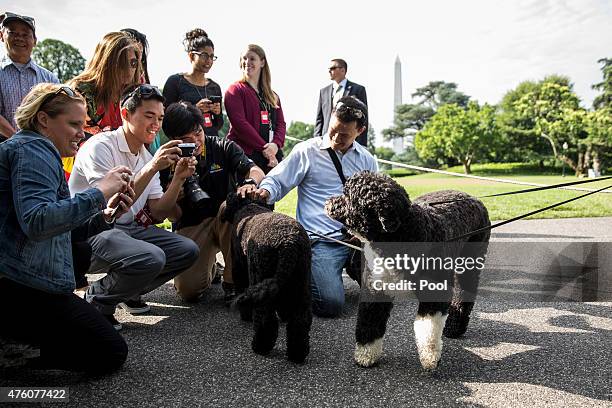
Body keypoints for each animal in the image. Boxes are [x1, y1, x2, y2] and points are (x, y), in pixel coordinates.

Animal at [222, 193, 314, 364]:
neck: (249, 205)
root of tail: (288, 244)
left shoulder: (238, 267)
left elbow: (241, 288)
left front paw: (245, 315)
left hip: (261, 275)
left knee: (266, 319)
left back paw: (260, 347)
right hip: (301, 282)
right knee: (300, 320)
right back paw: (297, 354)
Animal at [326, 172, 492, 370]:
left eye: (348, 196)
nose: (328, 202)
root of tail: (475, 199)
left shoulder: (433, 294)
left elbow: (427, 328)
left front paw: (429, 357)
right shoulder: (375, 290)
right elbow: (368, 322)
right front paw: (366, 355)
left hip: (470, 262)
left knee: (464, 293)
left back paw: (454, 327)